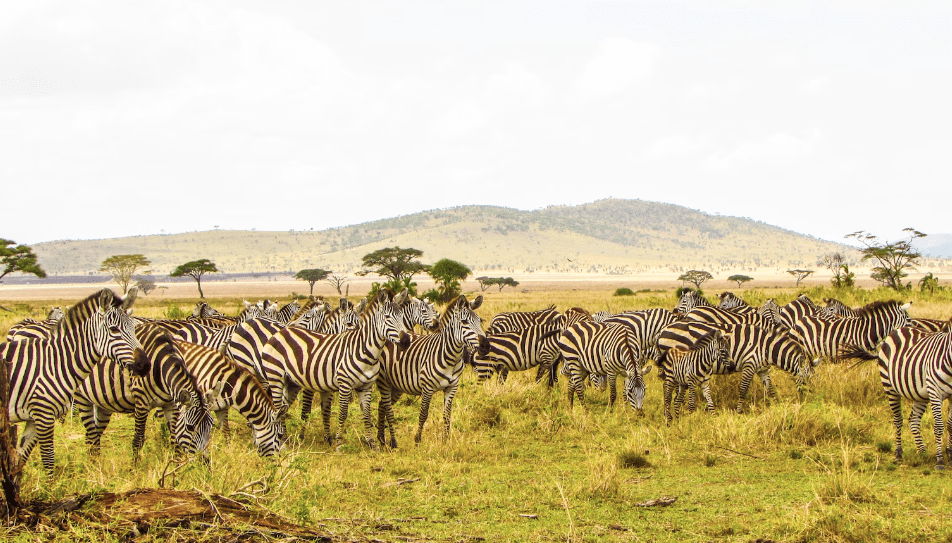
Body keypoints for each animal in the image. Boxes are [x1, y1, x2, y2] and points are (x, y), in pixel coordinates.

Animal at [0, 288, 150, 476]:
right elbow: (48, 459)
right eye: (114, 330)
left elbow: (19, 461)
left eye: (133, 327)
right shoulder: (44, 415)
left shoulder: (34, 418)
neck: (55, 362)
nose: (145, 364)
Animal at [72, 324, 218, 464]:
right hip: (82, 399)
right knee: (91, 437)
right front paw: (134, 469)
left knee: (93, 437)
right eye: (190, 427)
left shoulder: (171, 404)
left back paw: (96, 464)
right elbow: (138, 439)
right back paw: (94, 466)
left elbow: (175, 439)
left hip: (103, 404)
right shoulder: (141, 403)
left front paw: (175, 468)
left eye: (210, 426)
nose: (204, 462)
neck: (160, 365)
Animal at [260, 286, 410, 448]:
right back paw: (282, 442)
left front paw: (371, 444)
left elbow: (366, 414)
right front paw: (338, 443)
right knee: (277, 407)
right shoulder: (344, 384)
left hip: (291, 382)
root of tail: (281, 332)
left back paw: (285, 438)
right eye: (388, 317)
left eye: (402, 317)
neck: (365, 351)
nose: (406, 341)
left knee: (283, 407)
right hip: (275, 376)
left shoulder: (366, 386)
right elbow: (342, 413)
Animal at [376, 296, 488, 448]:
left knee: (381, 404)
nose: (486, 346)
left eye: (479, 320)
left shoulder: (452, 387)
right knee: (385, 405)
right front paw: (417, 440)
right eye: (464, 322)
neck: (451, 358)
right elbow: (423, 414)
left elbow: (447, 415)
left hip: (397, 386)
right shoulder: (427, 388)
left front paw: (445, 440)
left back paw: (381, 438)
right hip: (384, 382)